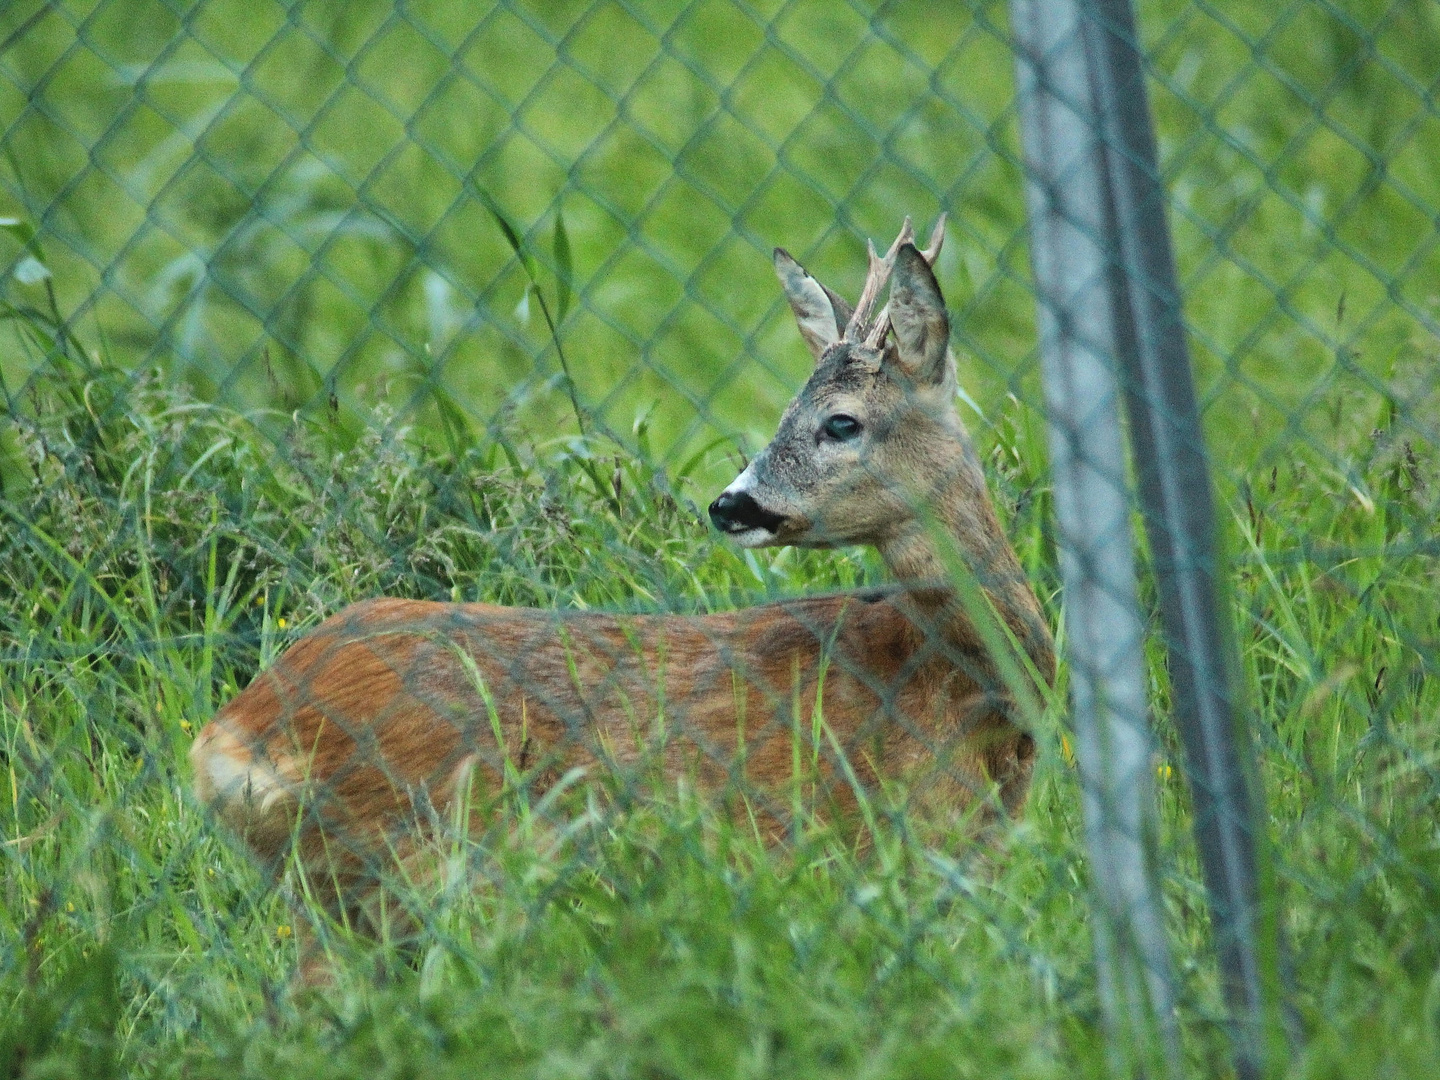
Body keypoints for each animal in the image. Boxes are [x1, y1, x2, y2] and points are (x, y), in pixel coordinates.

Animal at [191, 216, 1059, 967]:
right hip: (416, 861)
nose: (729, 504)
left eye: (840, 422)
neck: (968, 682)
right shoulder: (887, 843)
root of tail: (231, 738)